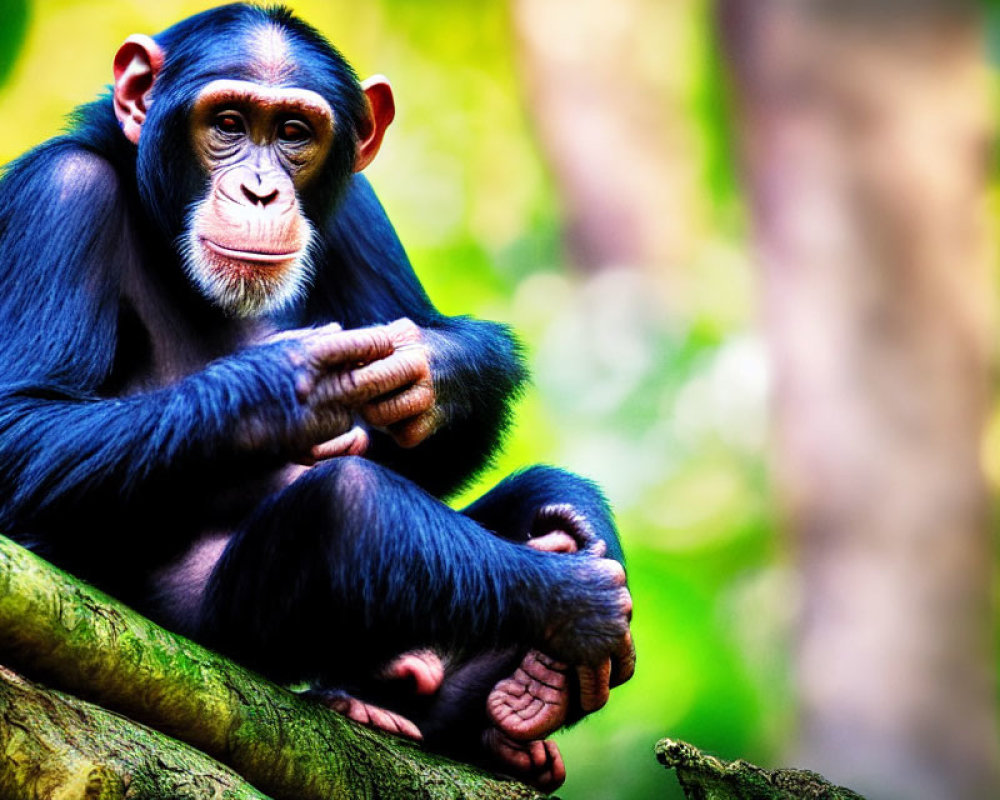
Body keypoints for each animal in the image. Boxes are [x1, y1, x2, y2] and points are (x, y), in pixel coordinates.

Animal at [0, 1, 632, 788]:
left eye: (295, 133)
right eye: (228, 123)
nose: (261, 190)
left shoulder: (358, 203)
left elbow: (425, 382)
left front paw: (428, 371)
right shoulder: (58, 197)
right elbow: (22, 421)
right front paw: (285, 387)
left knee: (547, 489)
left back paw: (510, 689)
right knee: (346, 508)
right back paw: (566, 606)